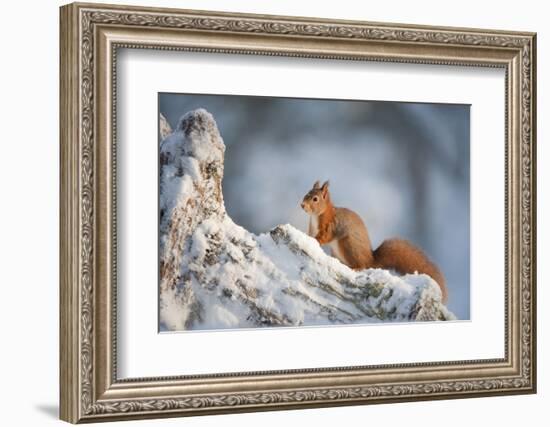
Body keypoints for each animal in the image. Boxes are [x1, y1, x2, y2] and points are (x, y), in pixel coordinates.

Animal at [302, 181, 448, 304]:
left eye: (315, 199)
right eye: (307, 193)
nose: (302, 205)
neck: (317, 216)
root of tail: (371, 260)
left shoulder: (331, 226)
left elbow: (325, 237)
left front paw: (316, 240)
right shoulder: (312, 228)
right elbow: (309, 234)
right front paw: (307, 237)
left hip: (348, 245)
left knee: (362, 265)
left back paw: (356, 267)